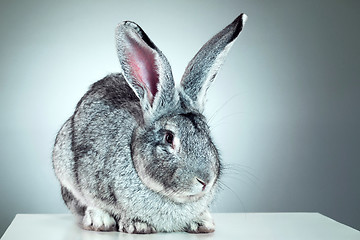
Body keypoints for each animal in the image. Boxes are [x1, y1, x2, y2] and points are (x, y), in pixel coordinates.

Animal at [52, 13, 248, 234]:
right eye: (169, 137)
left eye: (207, 134)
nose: (205, 181)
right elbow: (93, 199)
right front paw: (137, 225)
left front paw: (203, 223)